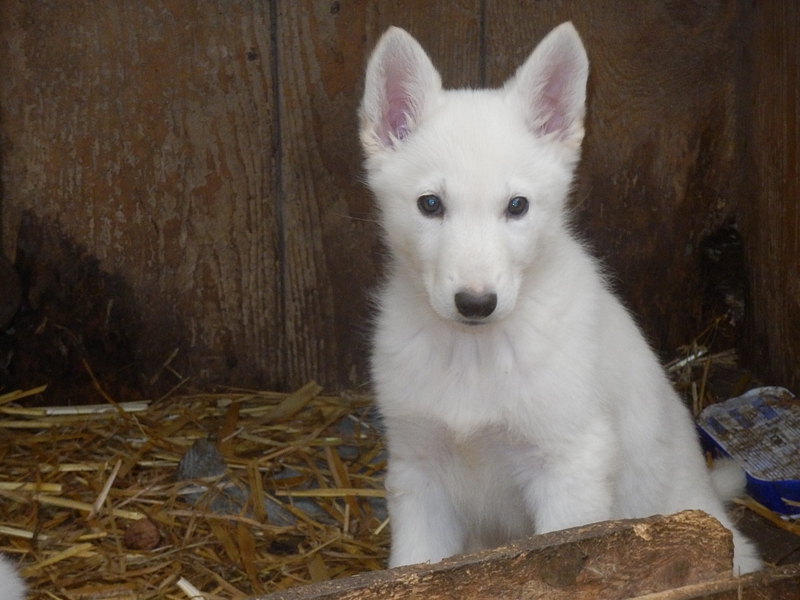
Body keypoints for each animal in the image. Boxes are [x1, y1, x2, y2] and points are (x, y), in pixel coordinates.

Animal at [359, 22, 761, 574]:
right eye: (430, 205)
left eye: (517, 206)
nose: (475, 303)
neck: (474, 353)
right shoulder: (419, 472)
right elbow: (415, 566)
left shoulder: (571, 466)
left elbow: (558, 549)